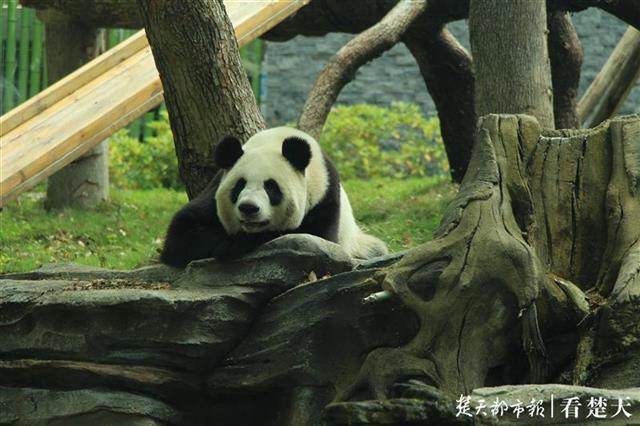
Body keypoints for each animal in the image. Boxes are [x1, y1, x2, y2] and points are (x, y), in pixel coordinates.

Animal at [160, 125, 390, 266]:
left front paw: (236, 244)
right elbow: (182, 233)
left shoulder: (324, 197)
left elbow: (312, 239)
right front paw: (230, 243)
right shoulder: (214, 191)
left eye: (271, 188)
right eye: (239, 186)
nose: (249, 208)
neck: (275, 141)